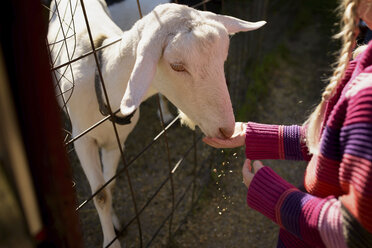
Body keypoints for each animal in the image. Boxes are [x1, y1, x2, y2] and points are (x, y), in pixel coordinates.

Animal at [48, 0, 264, 247]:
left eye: (223, 58)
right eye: (177, 65)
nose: (227, 130)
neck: (102, 82)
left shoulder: (117, 140)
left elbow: (109, 185)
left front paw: (114, 222)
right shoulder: (82, 139)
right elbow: (101, 194)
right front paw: (111, 240)